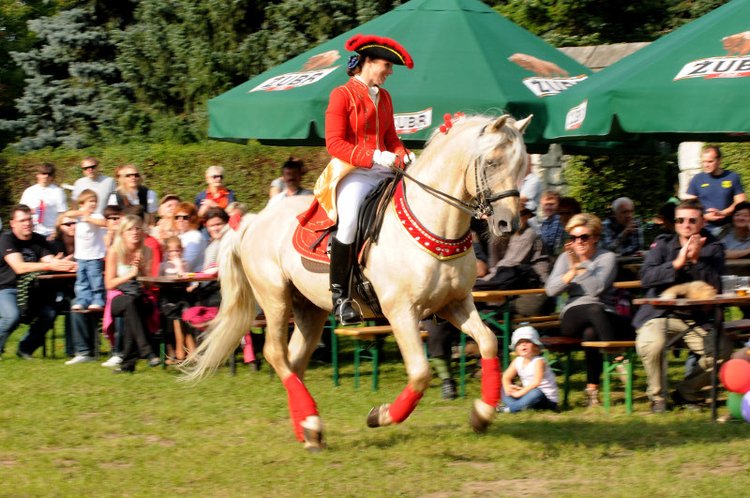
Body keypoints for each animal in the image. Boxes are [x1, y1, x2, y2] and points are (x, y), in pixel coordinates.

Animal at [185, 115, 532, 450]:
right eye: (492, 162)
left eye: (523, 166)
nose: (509, 223)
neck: (432, 224)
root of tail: (254, 219)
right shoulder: (401, 312)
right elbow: (420, 373)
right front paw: (381, 415)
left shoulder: (454, 303)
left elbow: (488, 342)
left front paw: (482, 413)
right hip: (274, 299)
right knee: (275, 353)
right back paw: (311, 423)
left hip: (309, 309)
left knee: (294, 361)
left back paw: (307, 429)